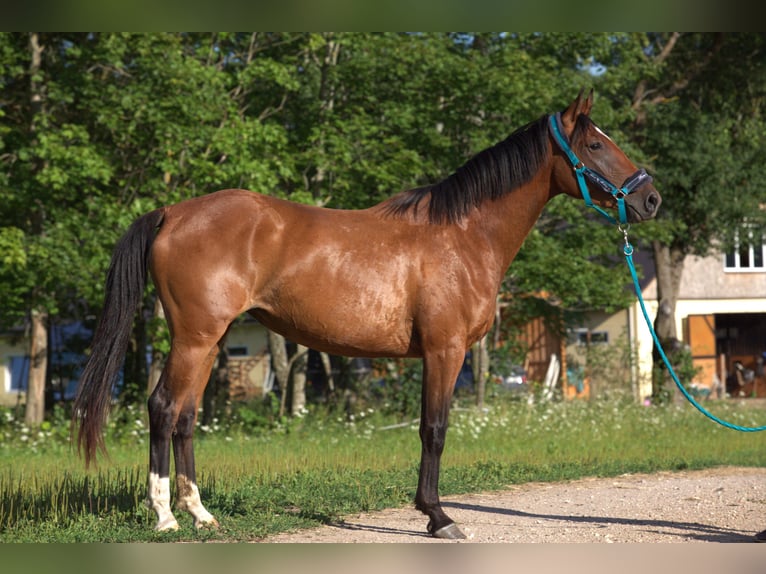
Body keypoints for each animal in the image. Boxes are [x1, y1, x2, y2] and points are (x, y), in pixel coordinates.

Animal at [70, 90, 660, 540]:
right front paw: (437, 517)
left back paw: (200, 513)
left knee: (187, 418)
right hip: (193, 338)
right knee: (163, 408)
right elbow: (434, 429)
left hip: (210, 343)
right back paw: (165, 516)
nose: (651, 198)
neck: (463, 236)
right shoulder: (445, 351)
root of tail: (172, 212)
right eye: (594, 143)